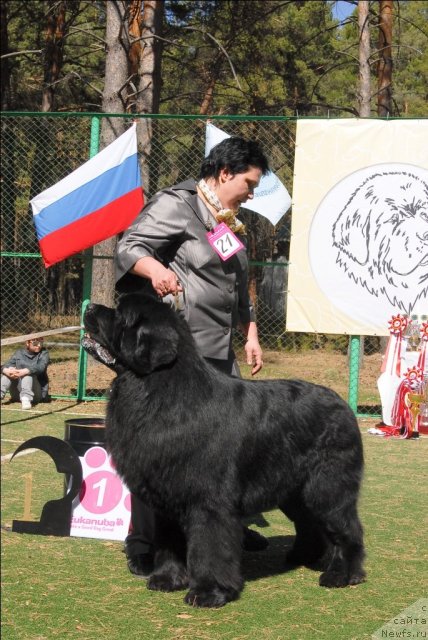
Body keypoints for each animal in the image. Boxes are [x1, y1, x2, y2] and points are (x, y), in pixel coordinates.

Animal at [83, 292, 364, 608]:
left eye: (121, 315)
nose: (90, 307)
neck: (159, 390)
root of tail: (344, 405)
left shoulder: (209, 500)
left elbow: (209, 547)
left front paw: (208, 591)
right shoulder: (167, 496)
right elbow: (169, 541)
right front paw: (167, 579)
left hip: (327, 486)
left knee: (346, 527)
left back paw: (342, 574)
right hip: (294, 490)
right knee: (309, 523)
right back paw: (302, 556)